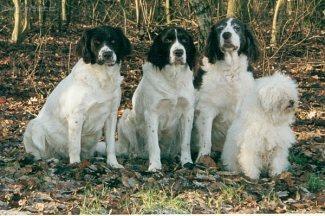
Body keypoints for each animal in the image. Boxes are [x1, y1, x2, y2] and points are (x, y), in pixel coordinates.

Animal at [23, 25, 131, 167]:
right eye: (96, 42)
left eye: (113, 41)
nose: (107, 54)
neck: (101, 77)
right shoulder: (76, 116)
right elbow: (75, 145)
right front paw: (75, 163)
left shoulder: (112, 115)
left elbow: (111, 144)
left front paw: (113, 163)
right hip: (34, 127)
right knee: (38, 154)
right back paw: (50, 160)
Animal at [117, 27, 196, 172]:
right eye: (168, 40)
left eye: (184, 40)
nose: (178, 52)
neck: (173, 77)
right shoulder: (152, 113)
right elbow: (154, 144)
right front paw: (155, 165)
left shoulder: (188, 112)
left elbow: (185, 142)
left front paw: (187, 162)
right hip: (125, 117)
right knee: (132, 148)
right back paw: (135, 155)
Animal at [192, 17, 258, 159]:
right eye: (220, 28)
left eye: (237, 28)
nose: (226, 35)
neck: (230, 70)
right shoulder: (207, 108)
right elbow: (206, 139)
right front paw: (203, 157)